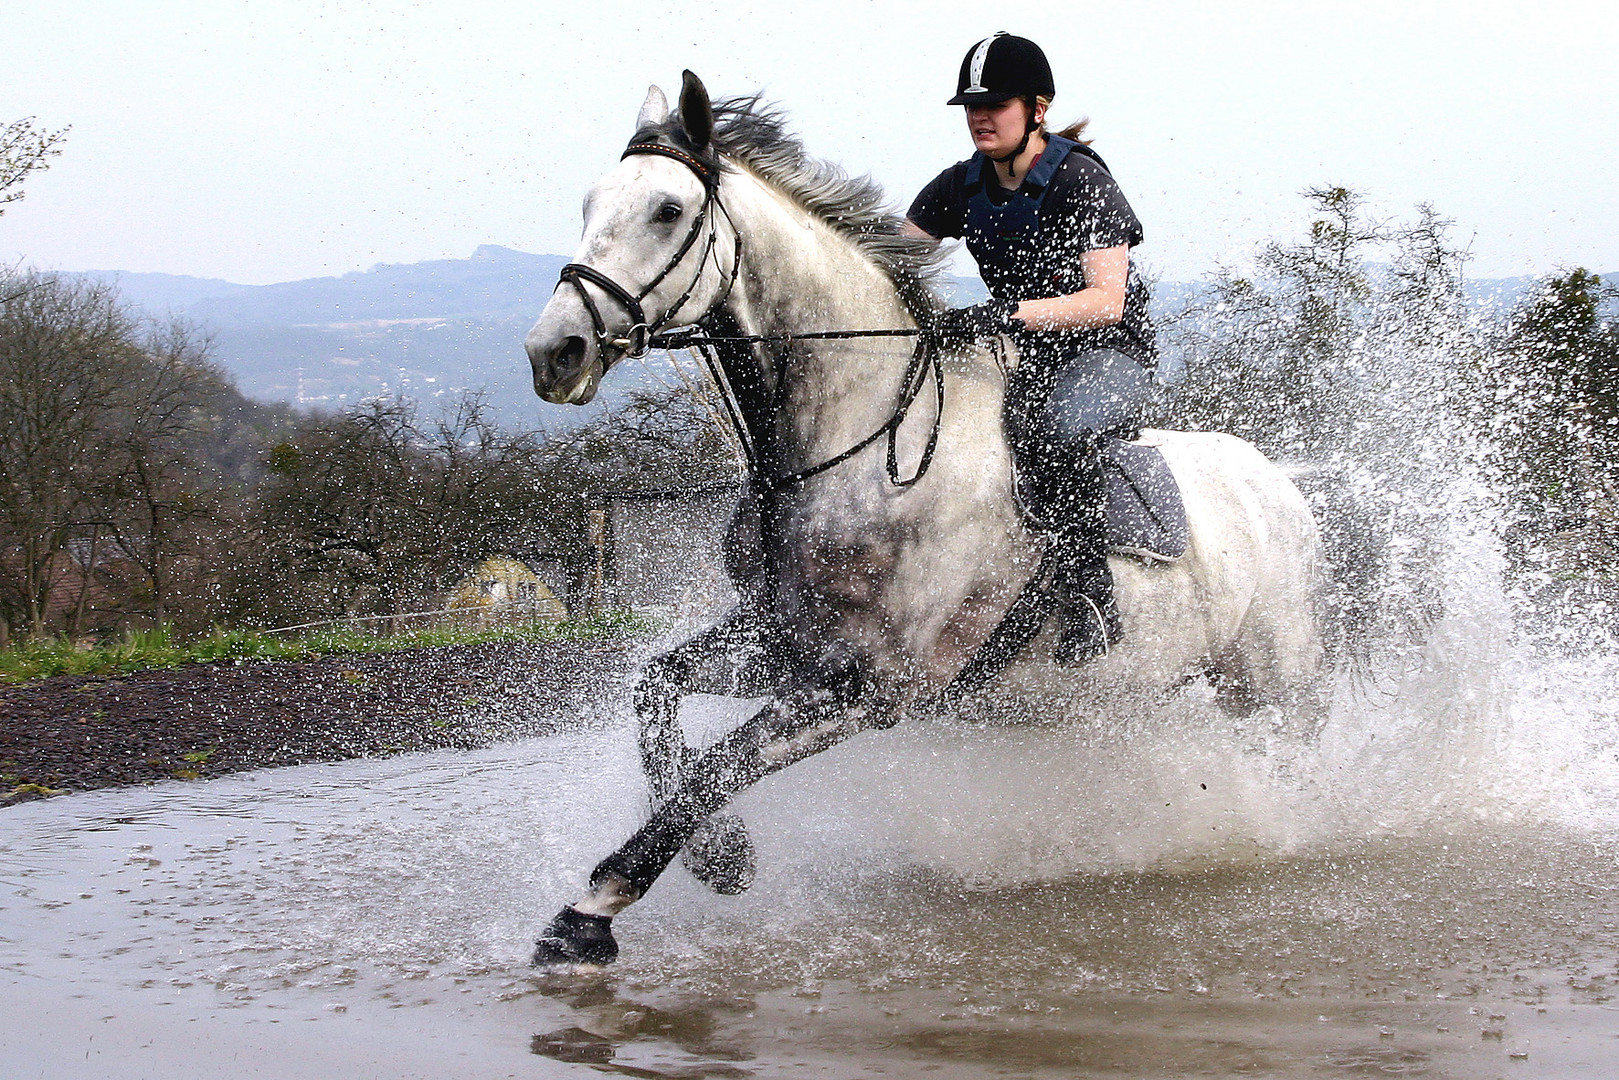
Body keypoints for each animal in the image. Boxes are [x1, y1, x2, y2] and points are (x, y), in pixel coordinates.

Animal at [524, 76, 1321, 971]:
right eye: (590, 203)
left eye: (666, 209)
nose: (553, 352)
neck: (858, 444)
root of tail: (1283, 485)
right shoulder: (784, 642)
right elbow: (655, 693)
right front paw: (719, 855)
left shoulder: (869, 687)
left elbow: (717, 768)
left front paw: (593, 911)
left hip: (1274, 684)